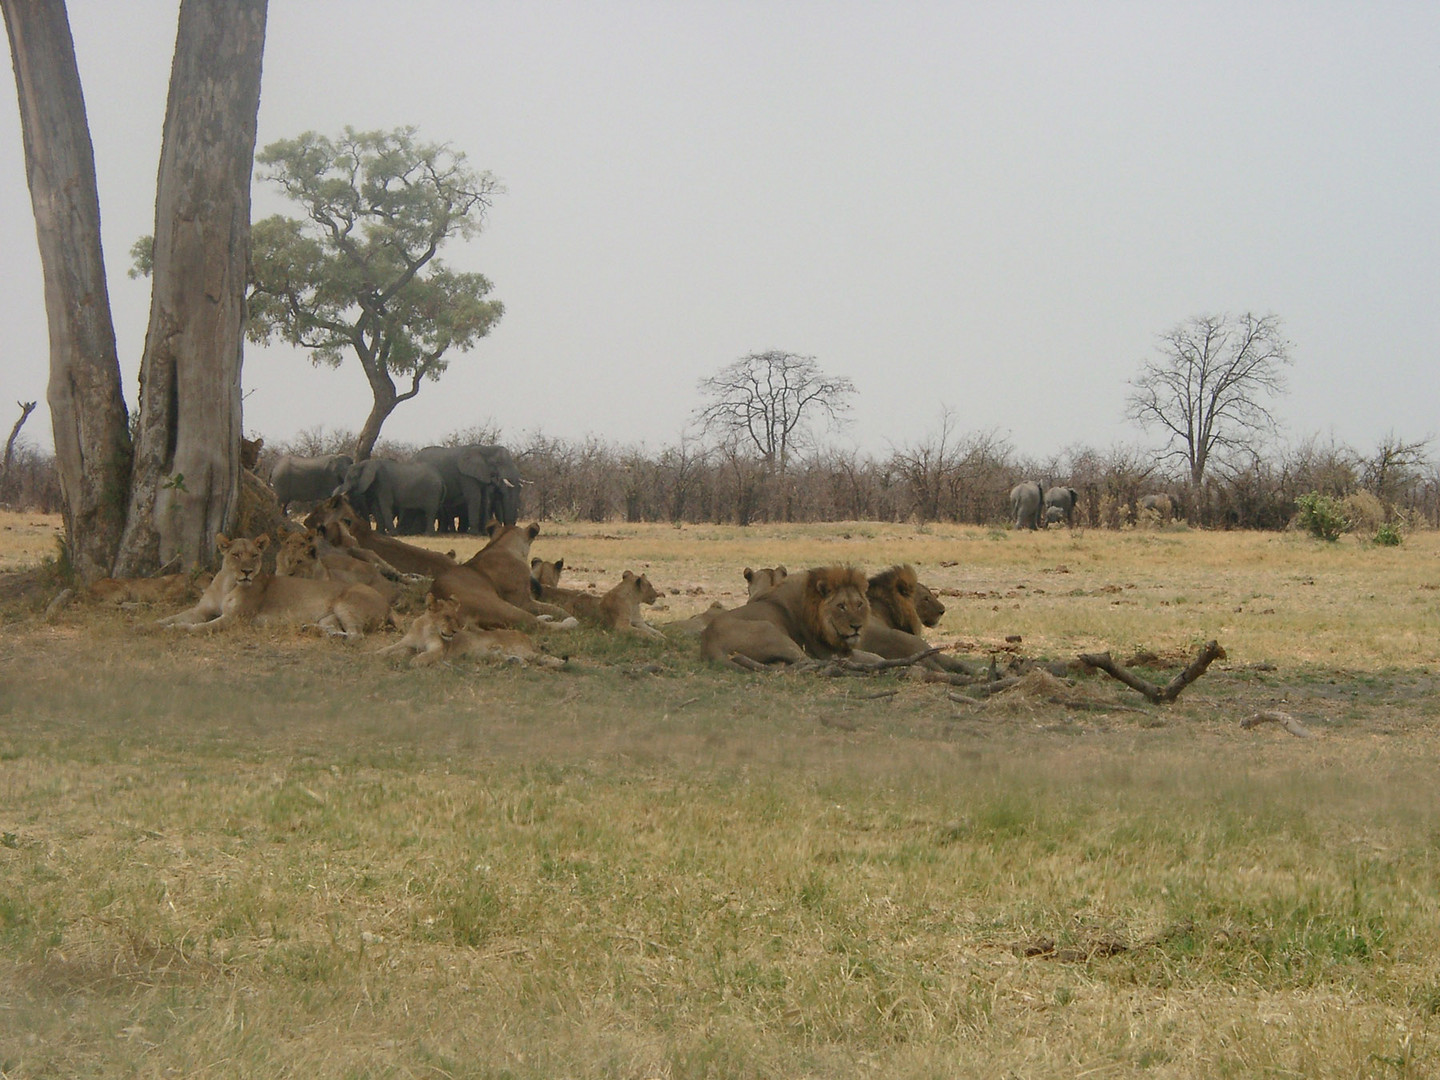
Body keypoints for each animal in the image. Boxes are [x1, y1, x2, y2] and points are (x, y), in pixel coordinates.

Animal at [156, 535, 391, 642]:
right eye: (236, 555)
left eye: (255, 555)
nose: (247, 571)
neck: (227, 583)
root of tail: (386, 602)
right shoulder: (201, 610)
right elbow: (175, 616)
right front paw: (153, 625)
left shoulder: (235, 619)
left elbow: (198, 627)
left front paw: (176, 629)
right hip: (329, 617)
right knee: (335, 629)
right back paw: (311, 629)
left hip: (346, 604)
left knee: (356, 635)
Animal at [702, 570, 869, 673]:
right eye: (841, 606)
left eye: (859, 604)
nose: (857, 627)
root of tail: (710, 645)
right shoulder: (828, 651)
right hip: (773, 632)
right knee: (809, 661)